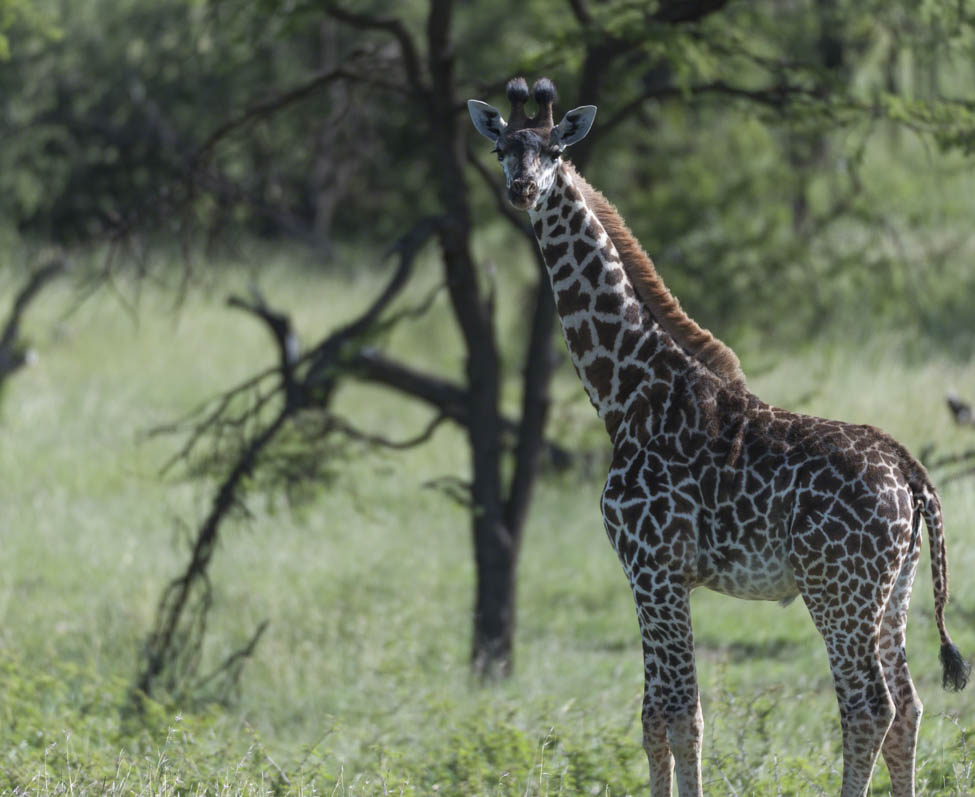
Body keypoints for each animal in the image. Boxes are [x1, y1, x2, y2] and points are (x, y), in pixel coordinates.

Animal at [468, 76, 970, 797]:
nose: (521, 189)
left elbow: (681, 711)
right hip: (892, 591)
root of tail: (911, 471)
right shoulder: (656, 574)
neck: (629, 392)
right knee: (908, 705)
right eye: (503, 148)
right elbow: (656, 713)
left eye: (552, 149)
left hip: (837, 591)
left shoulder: (652, 566)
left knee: (868, 705)